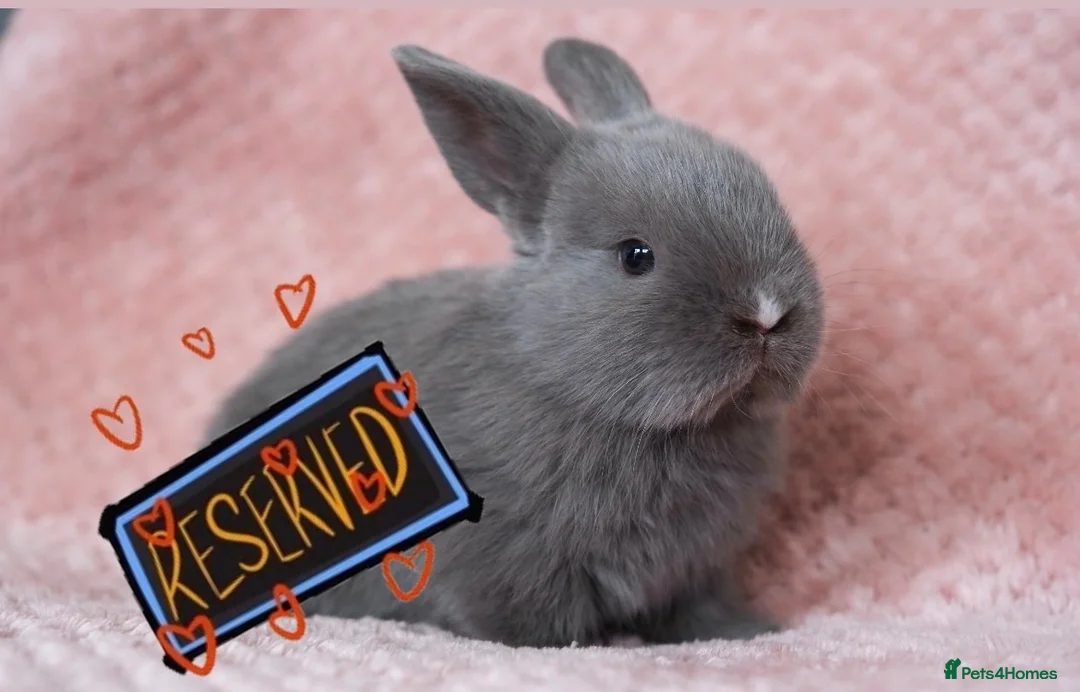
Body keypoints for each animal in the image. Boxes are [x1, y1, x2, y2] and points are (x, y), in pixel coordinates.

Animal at [204, 37, 825, 648]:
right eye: (635, 256)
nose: (767, 313)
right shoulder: (507, 559)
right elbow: (538, 624)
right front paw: (613, 645)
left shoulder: (695, 565)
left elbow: (699, 611)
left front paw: (749, 629)